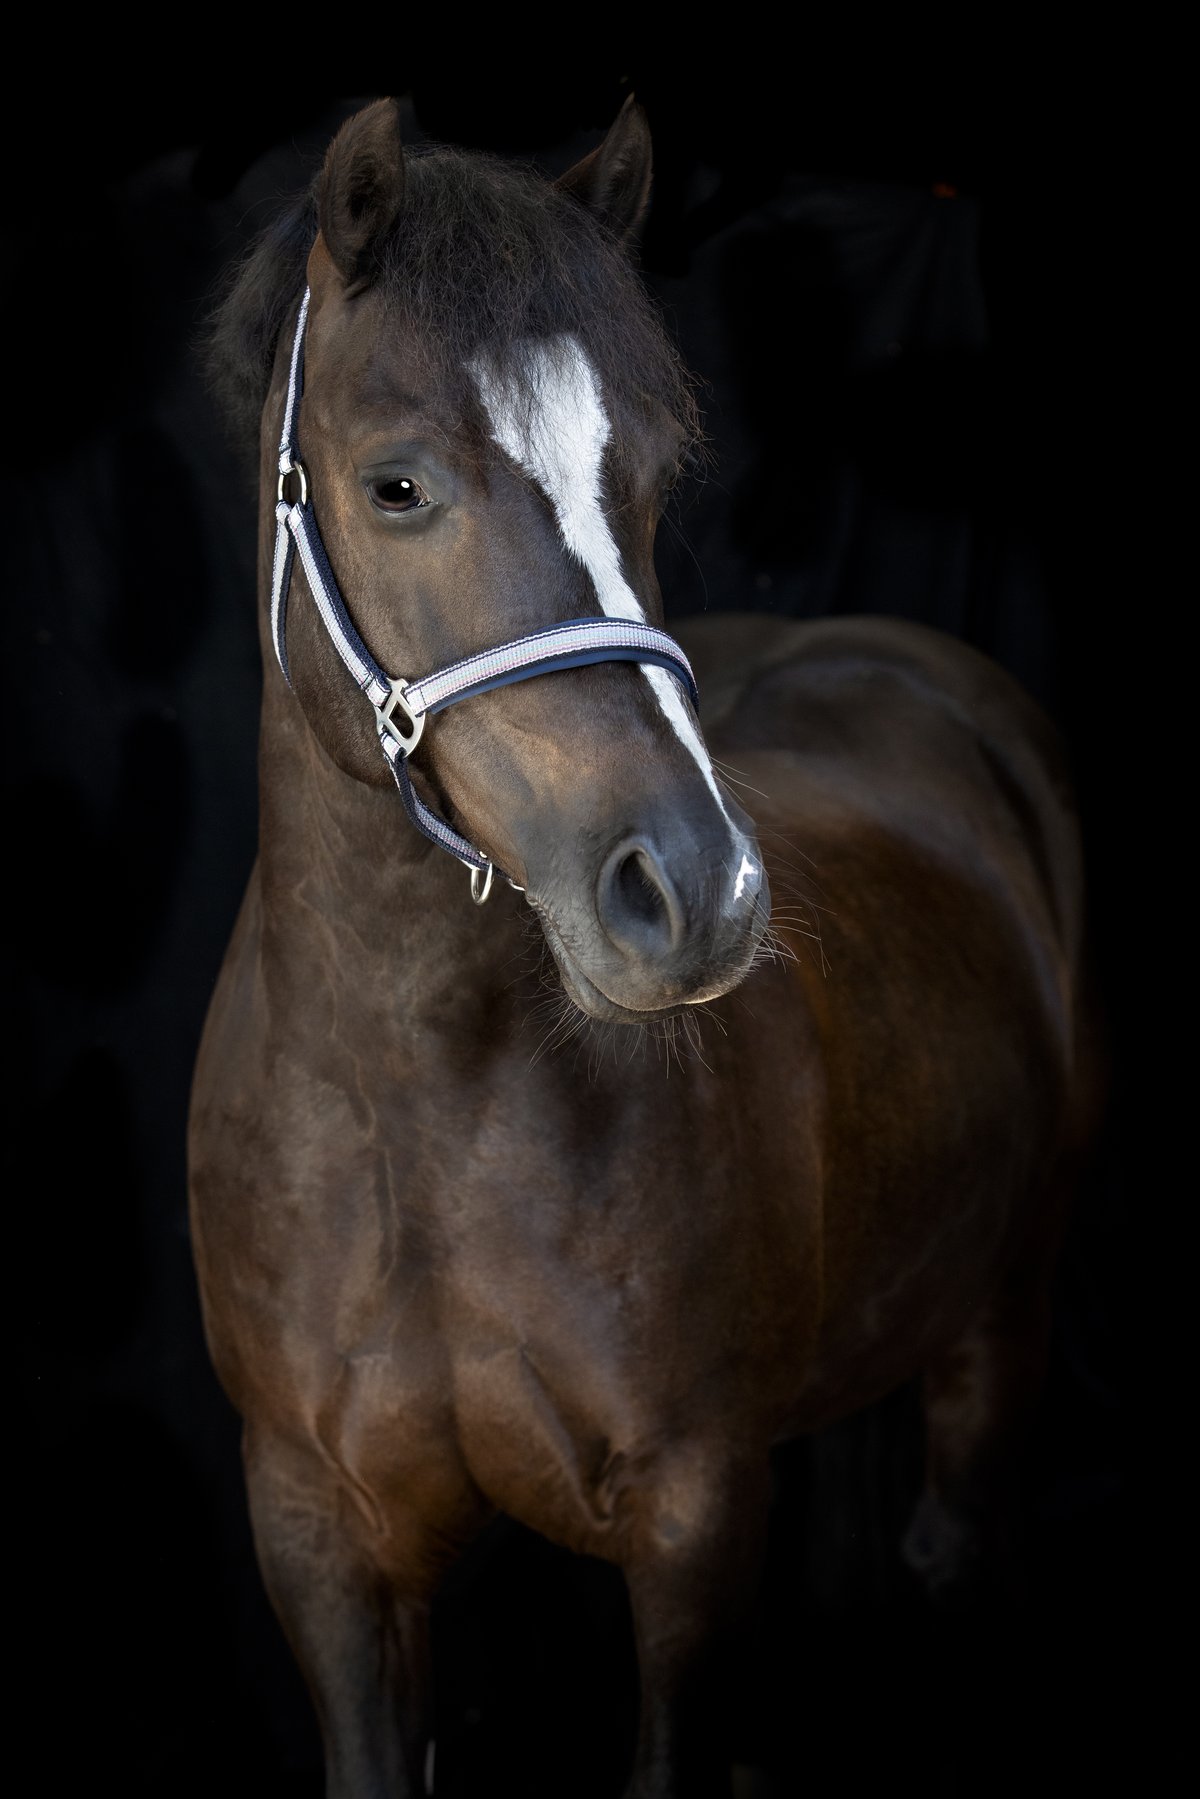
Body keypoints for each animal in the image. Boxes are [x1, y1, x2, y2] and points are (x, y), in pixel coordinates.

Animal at [188, 96, 1097, 1798]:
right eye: (397, 484)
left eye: (660, 469)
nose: (699, 890)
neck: (418, 1104)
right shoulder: (321, 1538)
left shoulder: (694, 1517)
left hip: (1003, 1310)